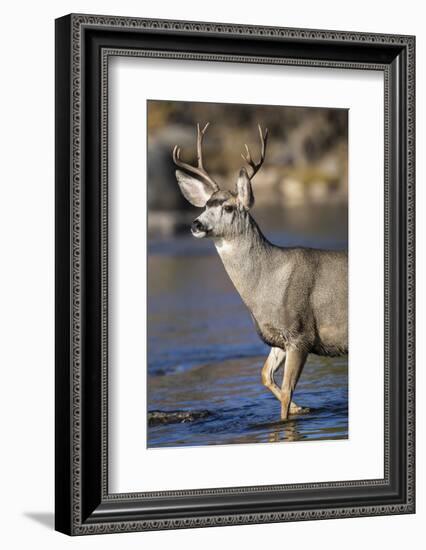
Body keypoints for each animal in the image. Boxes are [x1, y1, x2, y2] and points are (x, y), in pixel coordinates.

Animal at [171, 123, 348, 420]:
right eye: (205, 205)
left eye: (228, 207)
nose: (196, 224)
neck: (268, 281)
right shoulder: (277, 338)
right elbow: (265, 375)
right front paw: (303, 408)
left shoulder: (300, 333)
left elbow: (286, 393)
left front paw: (291, 413)